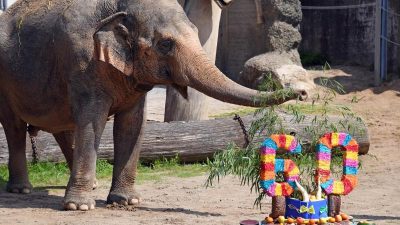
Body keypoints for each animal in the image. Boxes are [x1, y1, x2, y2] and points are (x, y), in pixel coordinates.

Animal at [0, 0, 306, 211]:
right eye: (166, 44)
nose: (302, 92)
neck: (119, 6)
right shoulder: (82, 63)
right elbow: (92, 121)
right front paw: (80, 207)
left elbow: (132, 124)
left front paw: (126, 202)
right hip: (6, 86)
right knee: (15, 128)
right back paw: (22, 190)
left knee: (63, 128)